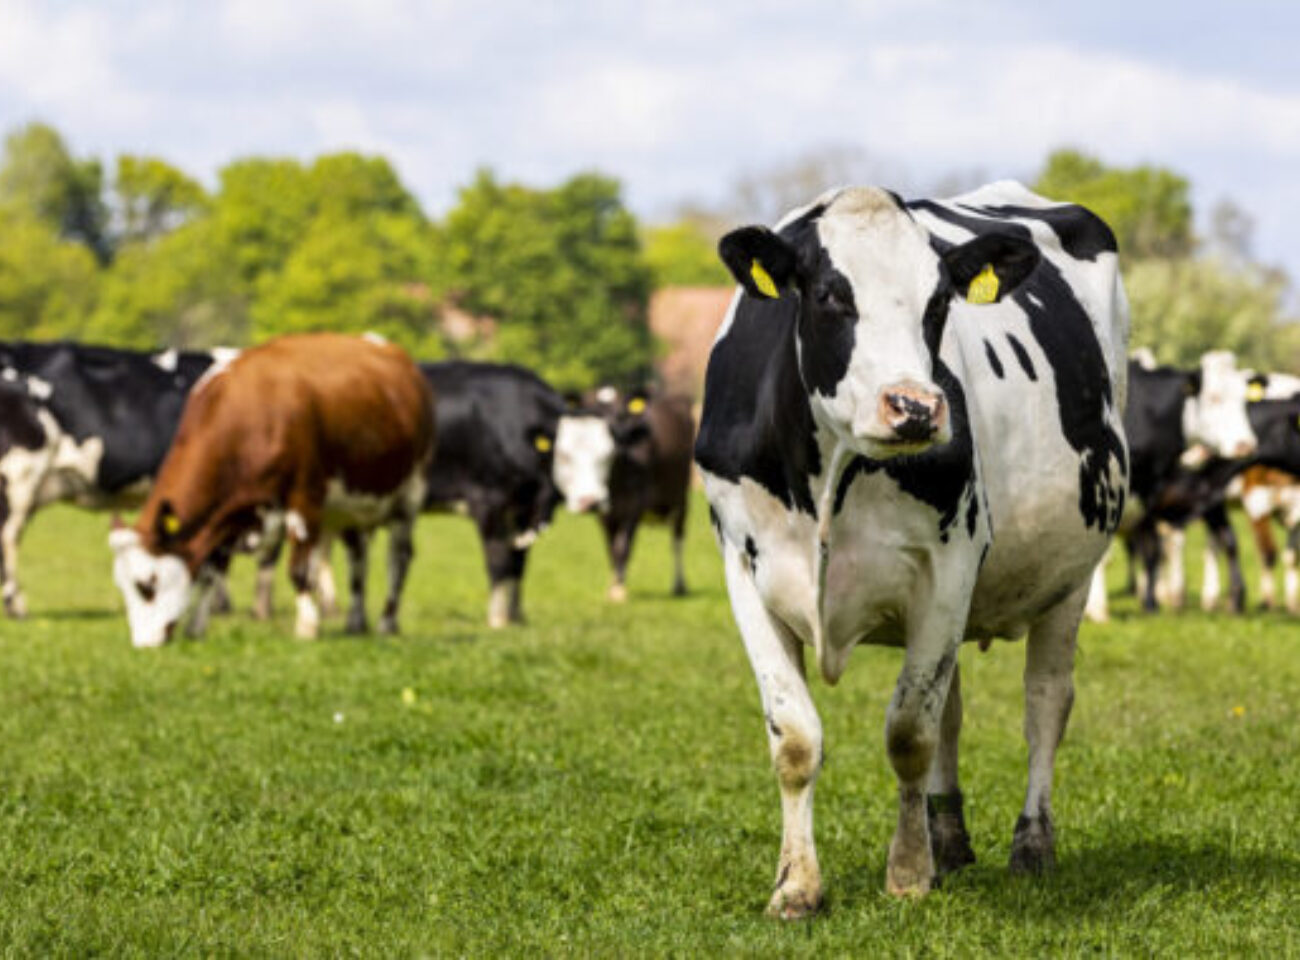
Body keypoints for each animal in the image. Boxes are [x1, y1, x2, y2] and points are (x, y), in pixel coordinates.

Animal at [108, 333, 434, 647]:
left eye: (147, 585)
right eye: (122, 586)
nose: (144, 644)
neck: (246, 415)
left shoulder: (303, 497)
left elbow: (298, 570)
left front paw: (307, 627)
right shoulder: (227, 513)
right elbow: (212, 569)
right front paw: (196, 628)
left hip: (409, 495)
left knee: (399, 558)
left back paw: (387, 622)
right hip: (350, 505)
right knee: (358, 558)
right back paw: (356, 623)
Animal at [552, 386, 694, 601]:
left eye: (621, 415)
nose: (590, 502)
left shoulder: (635, 506)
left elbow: (623, 546)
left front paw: (619, 590)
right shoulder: (605, 513)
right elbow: (611, 549)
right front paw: (612, 586)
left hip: (681, 498)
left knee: (677, 538)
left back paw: (679, 585)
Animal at [695, 182, 1129, 912]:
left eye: (937, 303)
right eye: (829, 295)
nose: (916, 407)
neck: (828, 479)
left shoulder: (951, 563)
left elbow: (908, 733)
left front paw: (906, 874)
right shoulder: (743, 565)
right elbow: (796, 737)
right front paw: (796, 886)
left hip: (1073, 573)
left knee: (1045, 702)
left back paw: (1031, 845)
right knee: (951, 704)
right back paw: (947, 840)